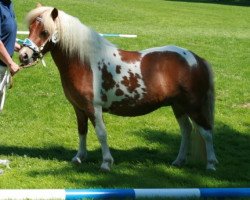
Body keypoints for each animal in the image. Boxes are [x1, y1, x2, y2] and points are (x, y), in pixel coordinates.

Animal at [19, 6, 218, 172]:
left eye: (45, 32)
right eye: (30, 28)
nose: (23, 56)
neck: (84, 63)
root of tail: (197, 59)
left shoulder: (93, 108)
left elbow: (101, 133)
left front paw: (106, 163)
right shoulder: (79, 108)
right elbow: (82, 131)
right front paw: (79, 158)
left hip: (193, 105)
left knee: (207, 132)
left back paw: (211, 165)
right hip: (178, 106)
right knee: (186, 130)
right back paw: (179, 161)